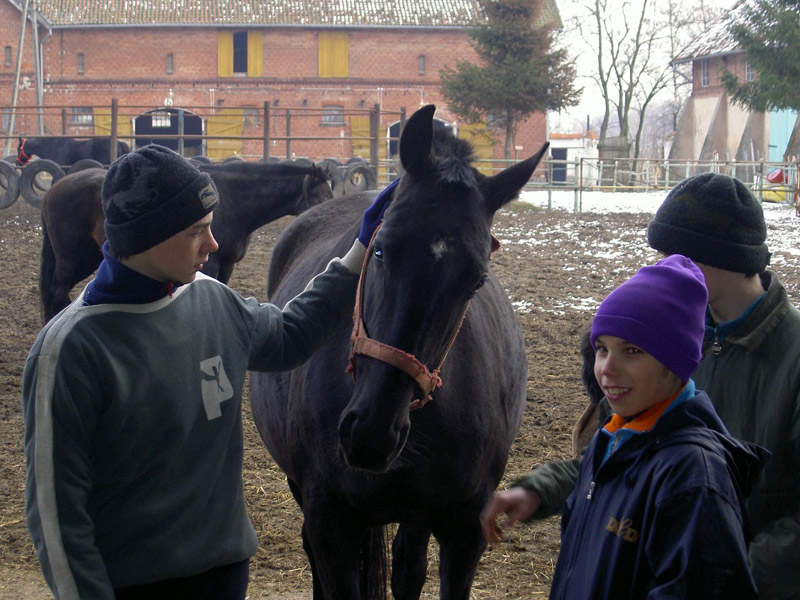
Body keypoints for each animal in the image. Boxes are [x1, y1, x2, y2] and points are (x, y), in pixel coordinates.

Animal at [39, 157, 334, 322]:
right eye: (321, 197)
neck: (232, 201)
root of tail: (55, 188)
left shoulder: (227, 264)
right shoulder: (210, 263)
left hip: (87, 258)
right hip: (70, 256)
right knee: (58, 291)